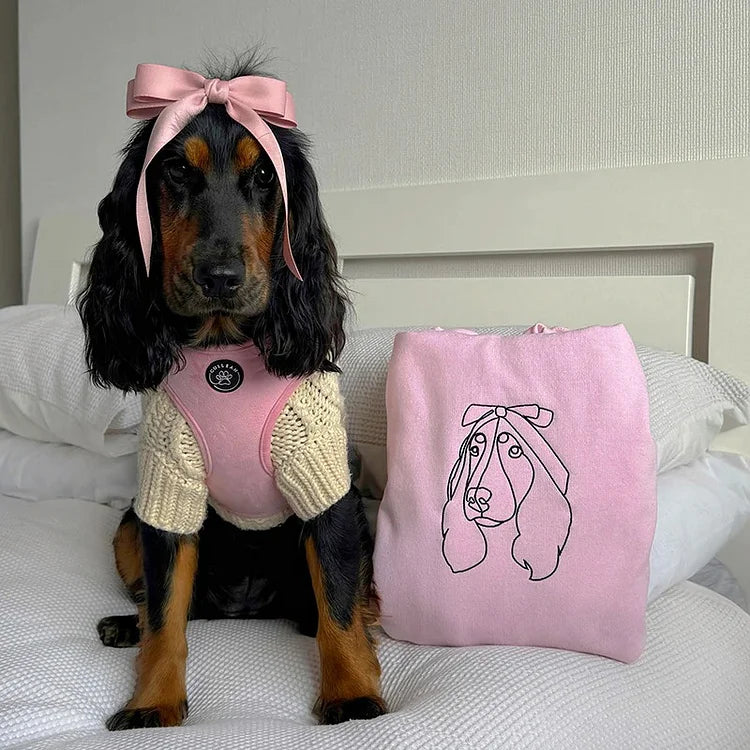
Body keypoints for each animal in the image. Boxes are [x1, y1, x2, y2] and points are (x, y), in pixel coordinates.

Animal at [78, 55, 384, 730]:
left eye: (264, 176)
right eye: (175, 172)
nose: (219, 276)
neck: (226, 354)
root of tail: (246, 609)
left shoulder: (325, 482)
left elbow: (339, 598)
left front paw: (352, 690)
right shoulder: (167, 488)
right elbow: (165, 610)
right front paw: (152, 701)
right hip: (128, 525)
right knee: (166, 604)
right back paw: (124, 625)